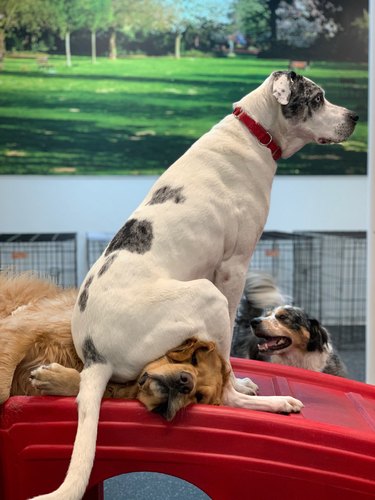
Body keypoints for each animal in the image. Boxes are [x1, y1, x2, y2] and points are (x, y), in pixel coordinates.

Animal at [0, 276, 229, 420]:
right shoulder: (26, 326)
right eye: (193, 359)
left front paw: (55, 379)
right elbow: (3, 388)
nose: (185, 382)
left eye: (199, 397)